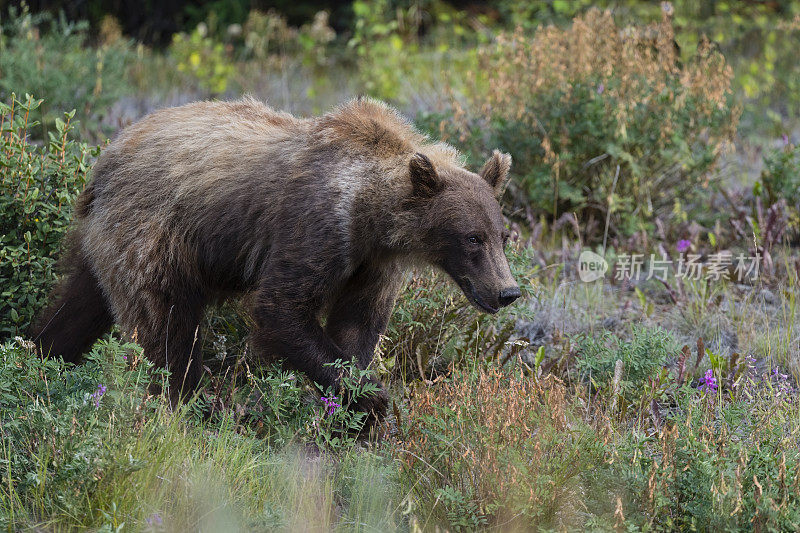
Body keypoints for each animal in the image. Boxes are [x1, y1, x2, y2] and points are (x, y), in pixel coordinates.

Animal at [31, 97, 520, 418]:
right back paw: (184, 402)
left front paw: (354, 407)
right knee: (166, 326)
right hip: (152, 236)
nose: (507, 291)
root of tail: (104, 160)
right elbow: (282, 308)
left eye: (502, 236)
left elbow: (358, 324)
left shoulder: (372, 263)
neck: (371, 212)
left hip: (104, 244)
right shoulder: (318, 228)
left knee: (77, 307)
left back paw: (39, 358)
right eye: (472, 238)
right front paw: (372, 399)